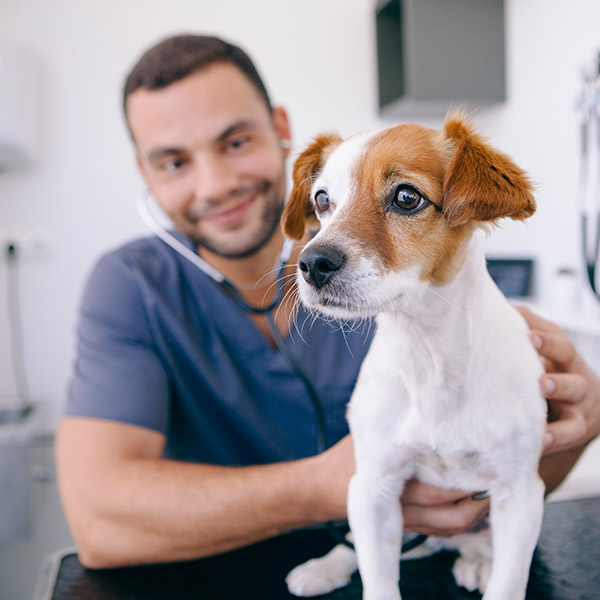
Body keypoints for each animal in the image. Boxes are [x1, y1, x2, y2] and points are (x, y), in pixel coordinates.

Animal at [282, 113, 548, 600]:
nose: (311, 264)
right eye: (322, 200)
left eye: (407, 197)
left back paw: (476, 560)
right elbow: (377, 578)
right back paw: (324, 567)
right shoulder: (374, 486)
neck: (427, 355)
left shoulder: (519, 495)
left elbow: (507, 583)